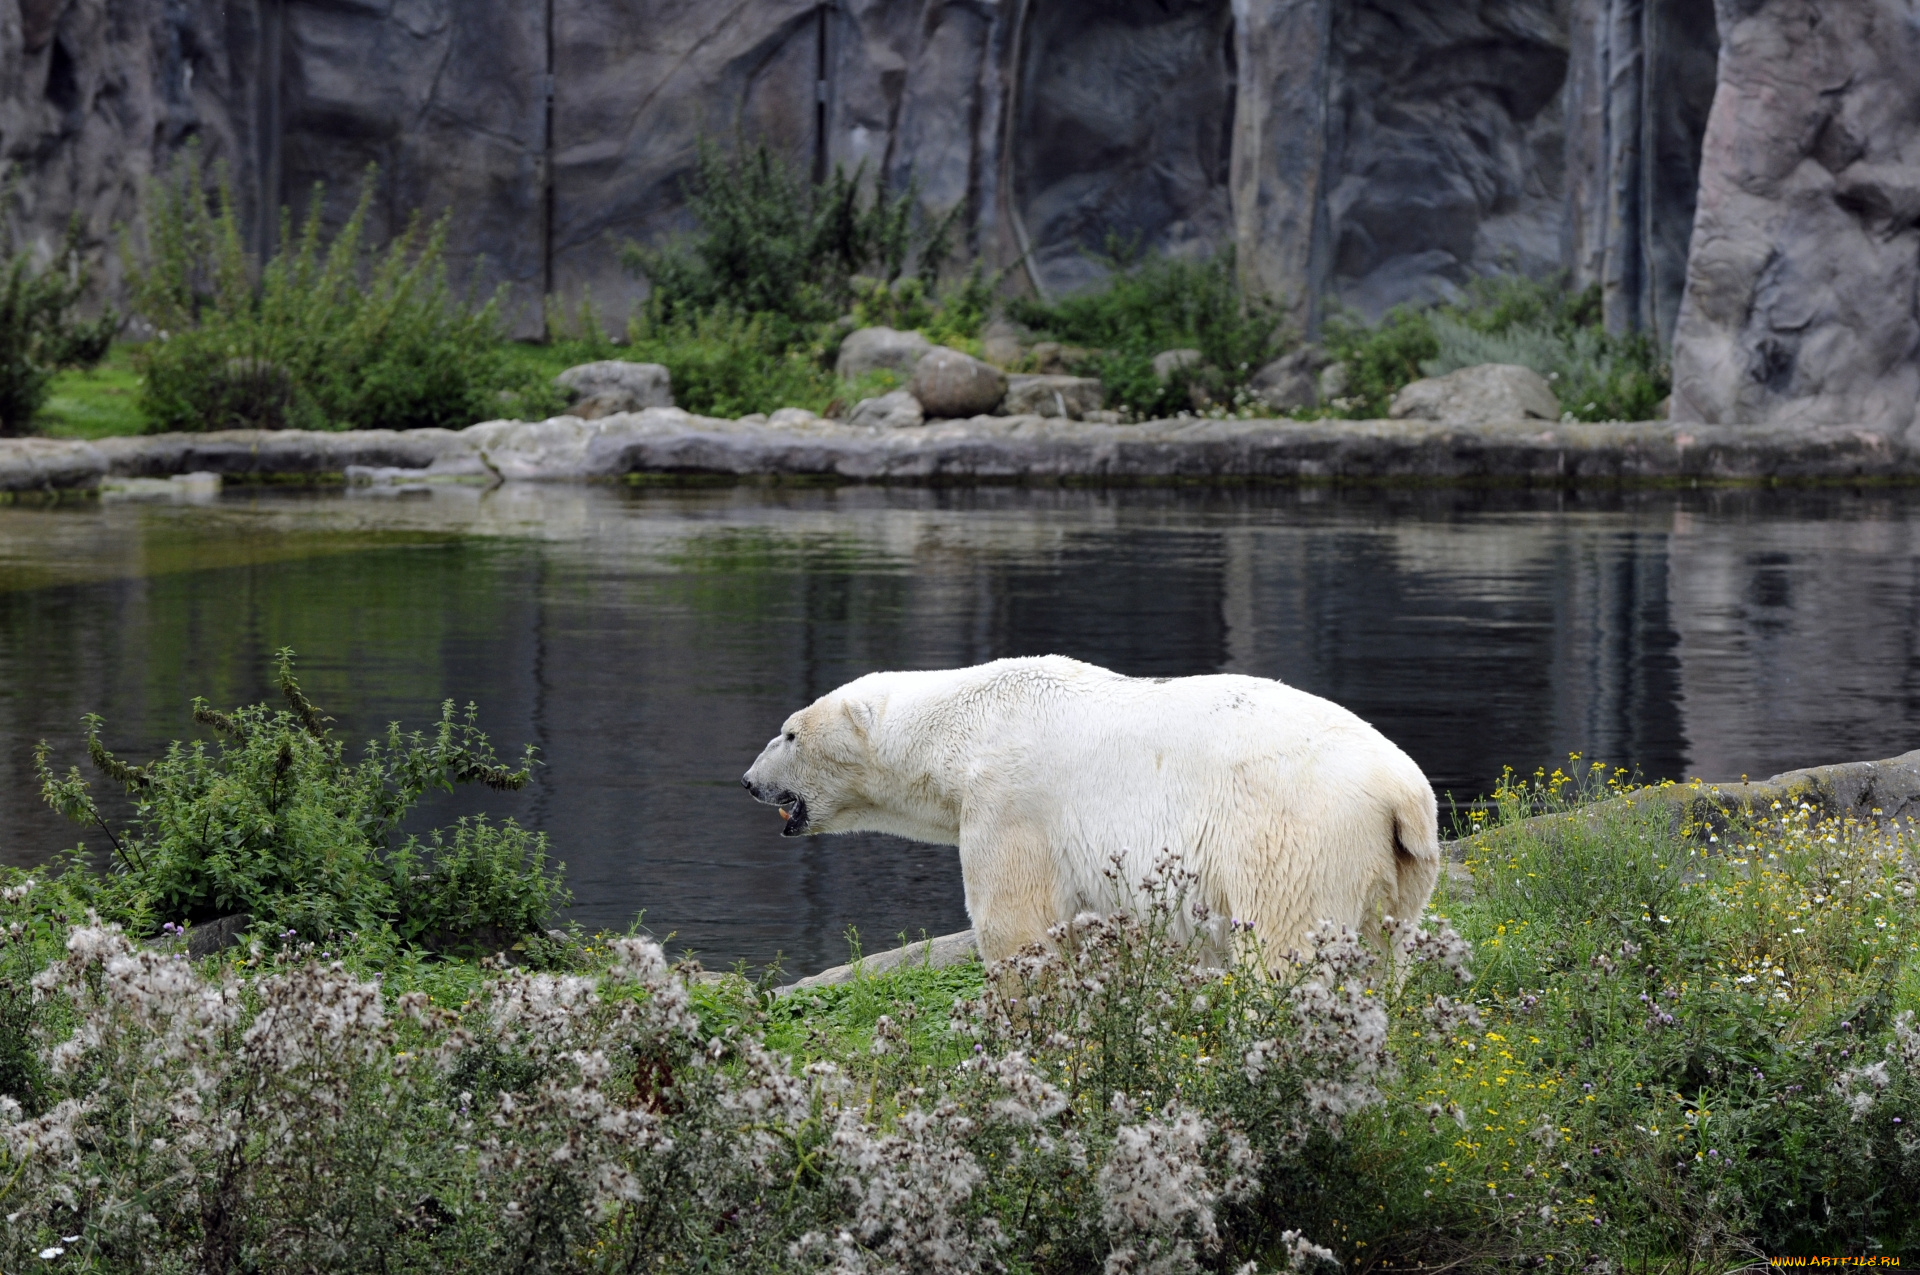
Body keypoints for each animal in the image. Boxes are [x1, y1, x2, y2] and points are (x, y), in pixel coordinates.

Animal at [741, 656, 1436, 967]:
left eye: (789, 734)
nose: (749, 782)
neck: (966, 727)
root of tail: (1401, 790)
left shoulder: (1009, 801)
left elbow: (1014, 924)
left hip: (1293, 832)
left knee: (1285, 938)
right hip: (1399, 865)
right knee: (1384, 953)